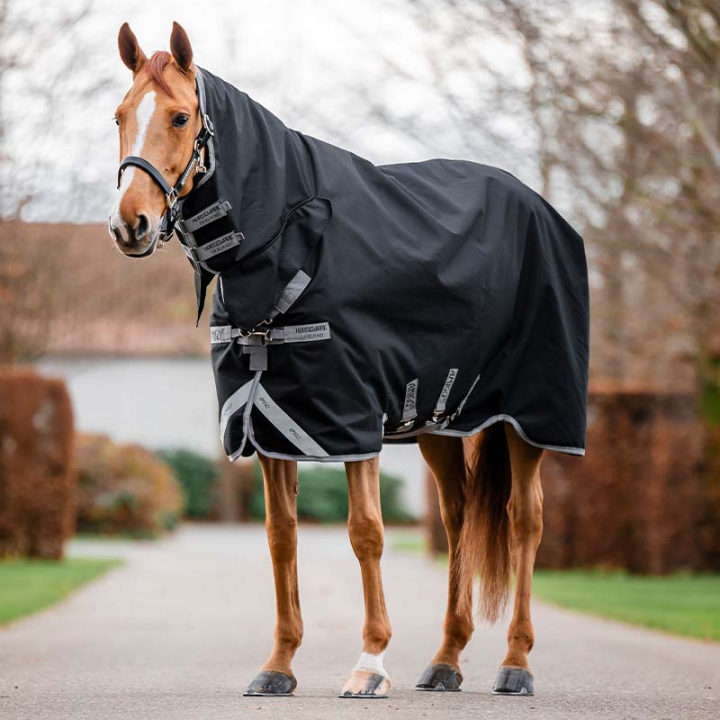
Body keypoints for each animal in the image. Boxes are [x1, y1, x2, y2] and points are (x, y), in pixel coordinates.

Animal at [108, 22, 588, 699]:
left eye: (180, 116)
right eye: (120, 116)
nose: (131, 224)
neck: (286, 239)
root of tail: (543, 209)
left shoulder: (352, 418)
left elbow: (366, 533)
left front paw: (370, 663)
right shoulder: (271, 422)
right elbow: (281, 537)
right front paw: (278, 665)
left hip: (529, 418)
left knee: (525, 522)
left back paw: (516, 663)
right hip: (438, 423)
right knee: (459, 517)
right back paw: (446, 659)